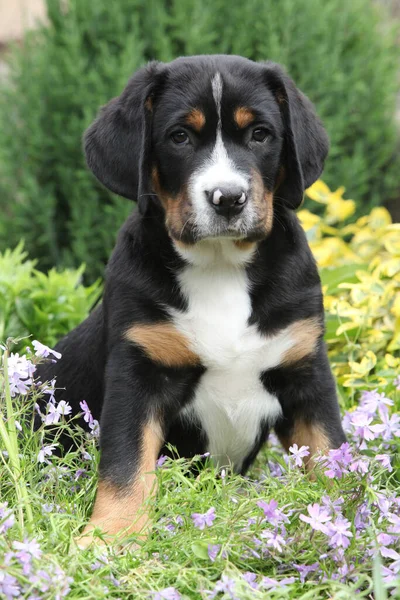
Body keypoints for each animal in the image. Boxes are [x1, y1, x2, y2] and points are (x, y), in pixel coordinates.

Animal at [37, 55, 346, 544]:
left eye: (261, 134)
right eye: (180, 136)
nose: (228, 198)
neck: (220, 266)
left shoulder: (305, 371)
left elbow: (328, 451)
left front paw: (343, 519)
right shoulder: (137, 372)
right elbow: (126, 464)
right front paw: (112, 536)